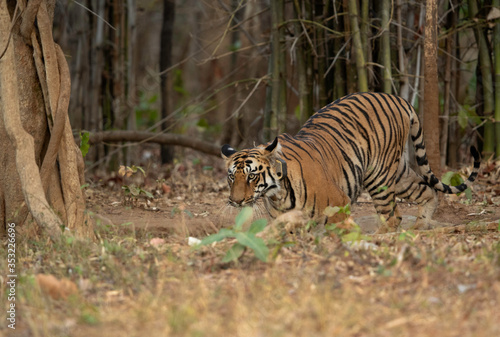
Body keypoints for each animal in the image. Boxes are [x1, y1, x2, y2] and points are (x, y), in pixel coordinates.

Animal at [220, 92, 480, 234]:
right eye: (232, 177)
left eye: (252, 176)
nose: (235, 201)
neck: (277, 194)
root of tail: (397, 98)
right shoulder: (282, 220)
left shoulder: (339, 205)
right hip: (399, 173)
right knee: (428, 191)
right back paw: (420, 228)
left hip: (378, 176)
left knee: (392, 217)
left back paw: (379, 238)